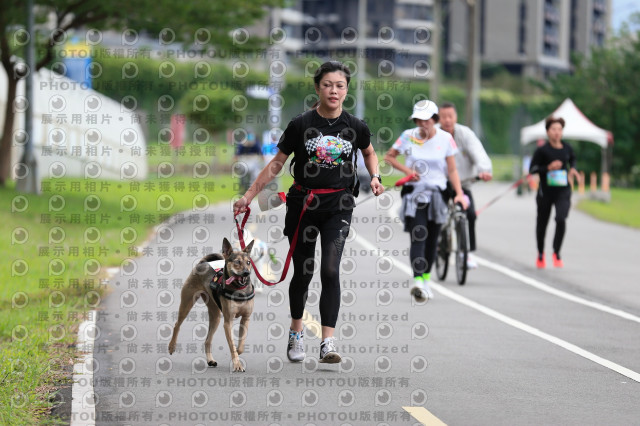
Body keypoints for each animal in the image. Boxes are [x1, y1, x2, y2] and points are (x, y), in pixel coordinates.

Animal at [170, 238, 255, 372]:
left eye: (248, 262)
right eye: (237, 262)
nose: (247, 273)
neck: (239, 289)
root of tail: (202, 263)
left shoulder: (246, 318)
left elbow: (240, 345)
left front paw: (238, 350)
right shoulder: (228, 322)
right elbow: (232, 345)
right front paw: (237, 364)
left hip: (215, 316)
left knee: (207, 340)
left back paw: (210, 360)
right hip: (186, 303)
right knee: (177, 325)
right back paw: (171, 346)